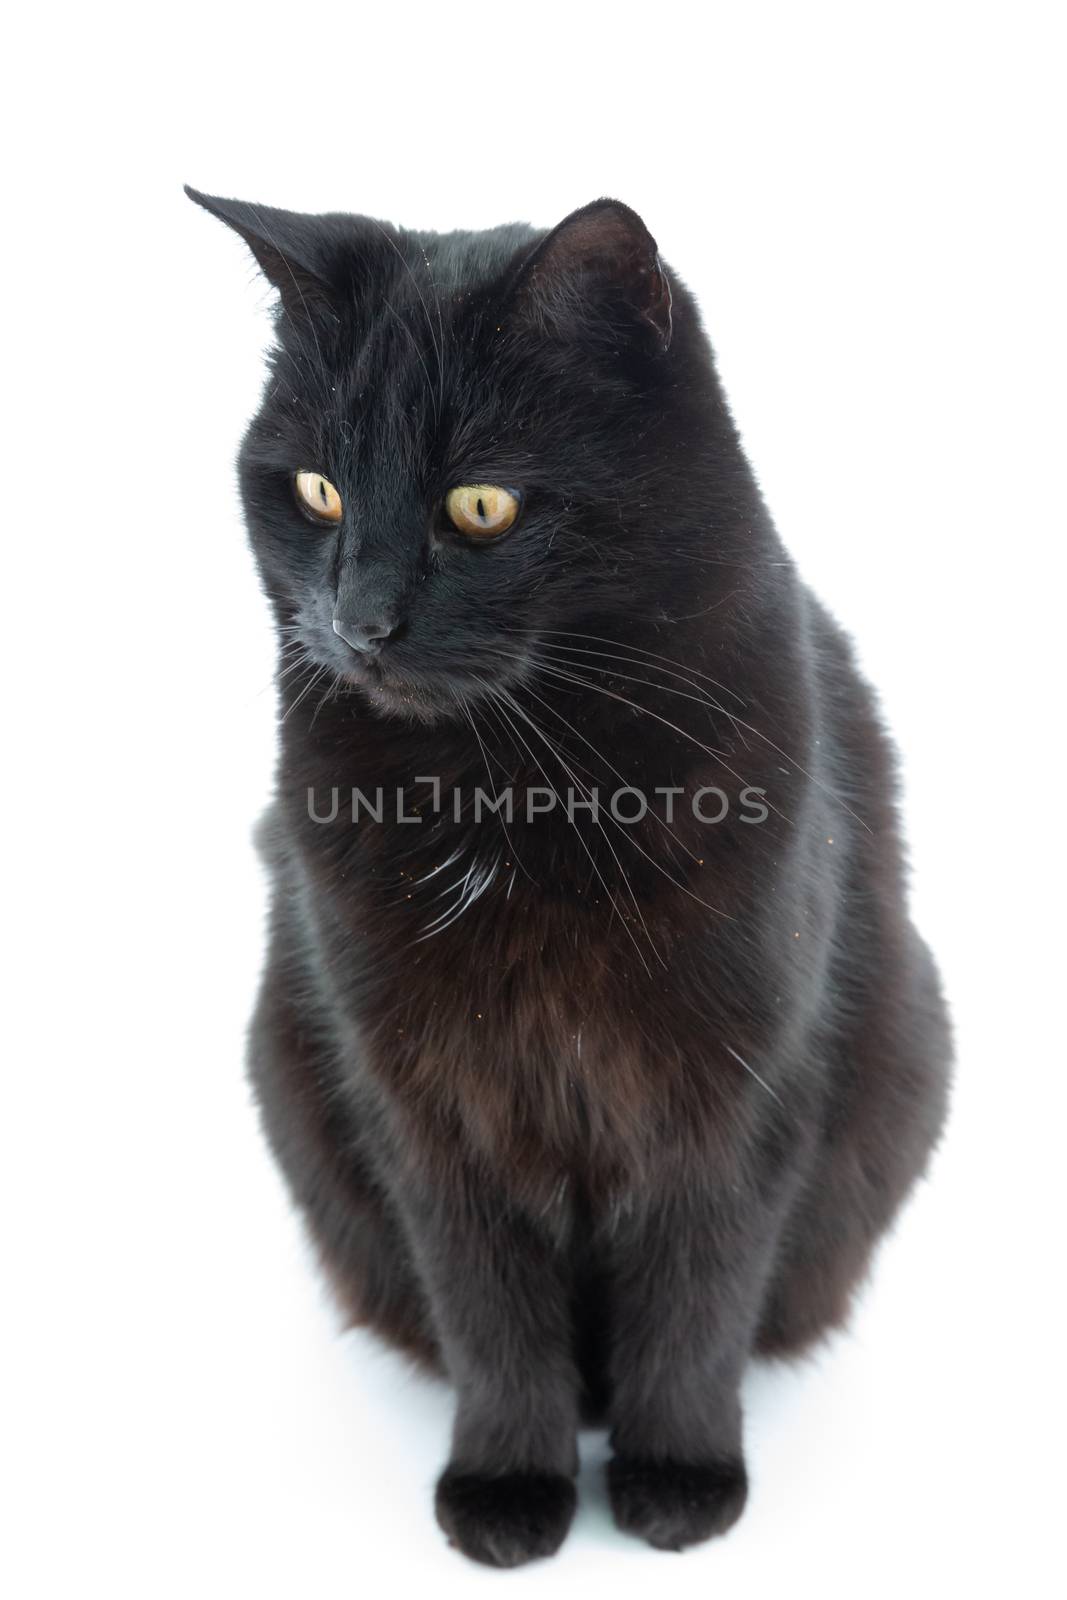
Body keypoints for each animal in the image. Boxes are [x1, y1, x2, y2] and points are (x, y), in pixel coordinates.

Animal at [189, 187, 953, 1561]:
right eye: (319, 491)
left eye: (479, 507)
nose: (359, 622)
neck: (508, 800)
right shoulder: (424, 1099)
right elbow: (488, 1309)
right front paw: (505, 1487)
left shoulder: (738, 1083)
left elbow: (697, 1294)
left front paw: (678, 1478)